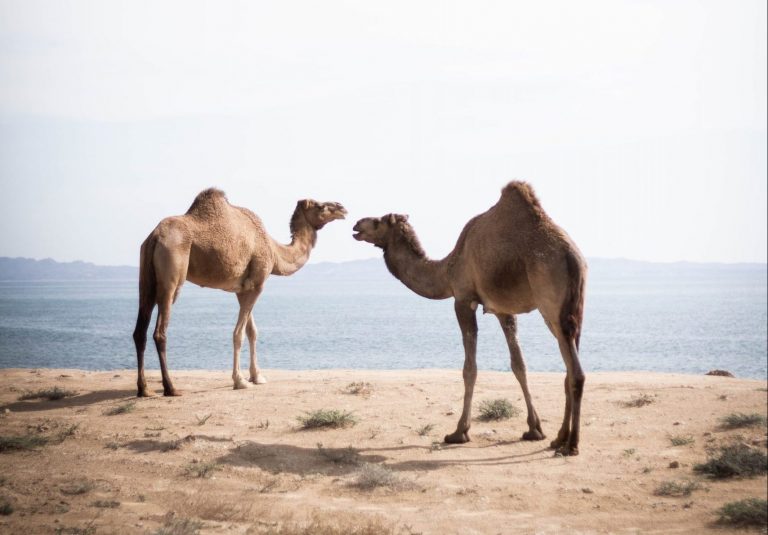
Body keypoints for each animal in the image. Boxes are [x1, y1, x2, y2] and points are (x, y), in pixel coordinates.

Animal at [134, 189, 346, 398]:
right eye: (320, 206)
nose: (342, 207)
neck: (273, 250)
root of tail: (155, 237)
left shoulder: (243, 289)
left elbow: (252, 331)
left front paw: (257, 376)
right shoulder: (258, 284)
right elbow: (239, 334)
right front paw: (240, 381)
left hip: (146, 278)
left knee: (139, 331)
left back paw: (144, 389)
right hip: (172, 275)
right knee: (160, 332)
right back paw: (171, 388)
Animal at [354, 182, 588, 454]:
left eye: (378, 221)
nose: (357, 224)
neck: (446, 269)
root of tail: (573, 259)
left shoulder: (463, 299)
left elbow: (470, 368)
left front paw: (459, 431)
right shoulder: (503, 309)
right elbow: (519, 364)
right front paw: (535, 429)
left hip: (551, 305)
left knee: (576, 372)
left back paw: (571, 444)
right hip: (574, 311)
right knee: (569, 368)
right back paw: (559, 438)